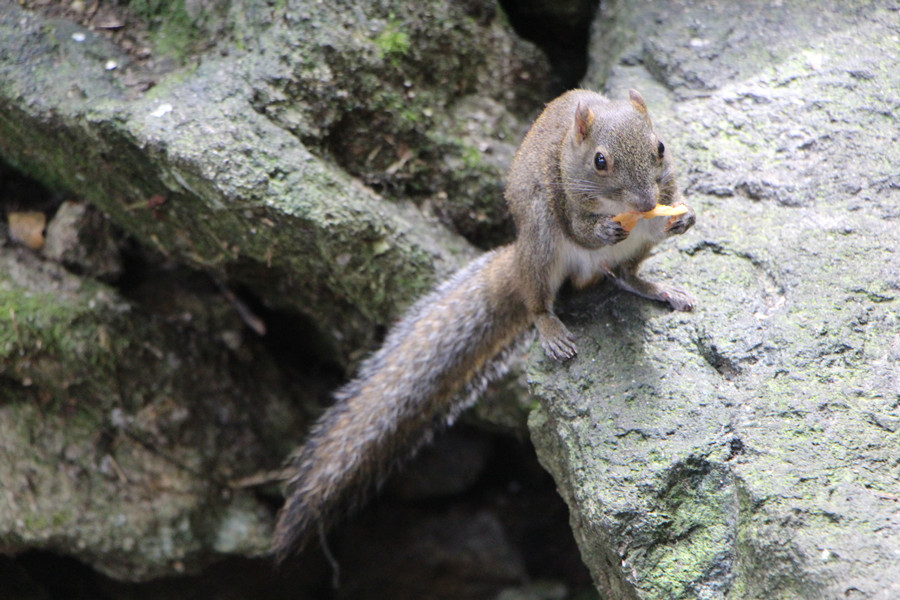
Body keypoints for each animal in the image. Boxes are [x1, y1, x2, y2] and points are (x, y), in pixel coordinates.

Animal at [274, 89, 696, 564]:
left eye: (660, 147)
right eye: (600, 161)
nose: (644, 203)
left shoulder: (661, 192)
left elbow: (666, 211)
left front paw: (682, 219)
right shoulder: (564, 201)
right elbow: (582, 231)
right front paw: (604, 230)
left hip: (628, 251)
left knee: (623, 274)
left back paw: (658, 289)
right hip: (541, 245)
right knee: (536, 300)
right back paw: (552, 330)